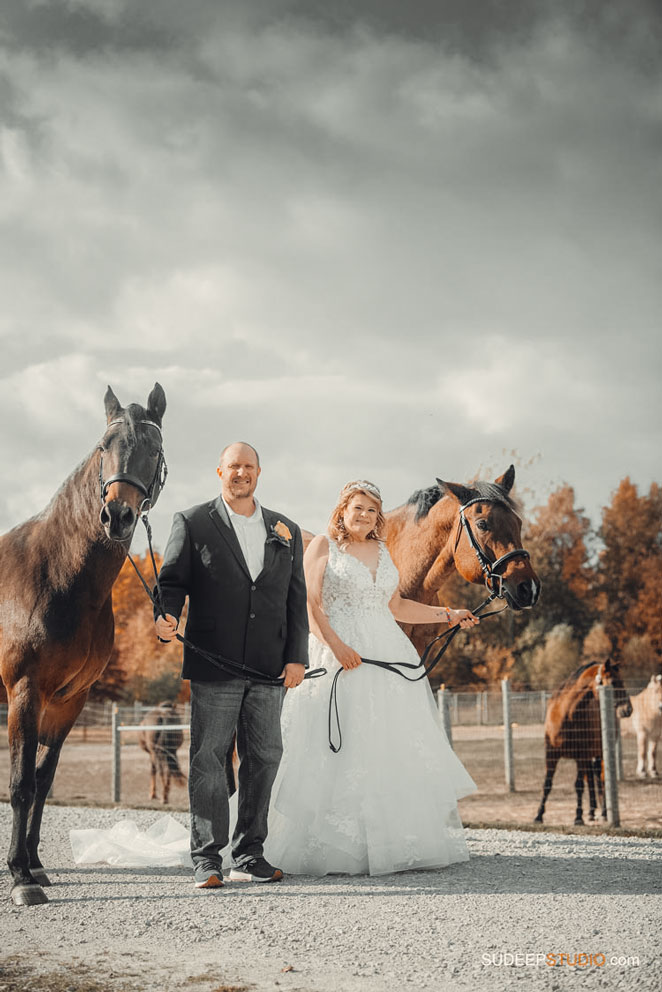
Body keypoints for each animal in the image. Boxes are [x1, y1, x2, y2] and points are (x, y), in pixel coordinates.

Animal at [0, 384, 169, 904]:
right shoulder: (25, 690)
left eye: (153, 449)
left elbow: (42, 779)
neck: (57, 574)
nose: (117, 515)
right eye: (102, 447)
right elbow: (19, 783)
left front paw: (34, 865)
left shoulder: (69, 700)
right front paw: (20, 878)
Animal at [536, 660, 632, 828]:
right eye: (614, 682)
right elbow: (547, 784)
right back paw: (592, 812)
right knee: (592, 780)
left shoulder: (581, 756)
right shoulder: (551, 754)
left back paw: (604, 813)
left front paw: (578, 817)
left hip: (599, 754)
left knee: (601, 779)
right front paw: (539, 816)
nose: (628, 709)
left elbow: (579, 785)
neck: (565, 714)